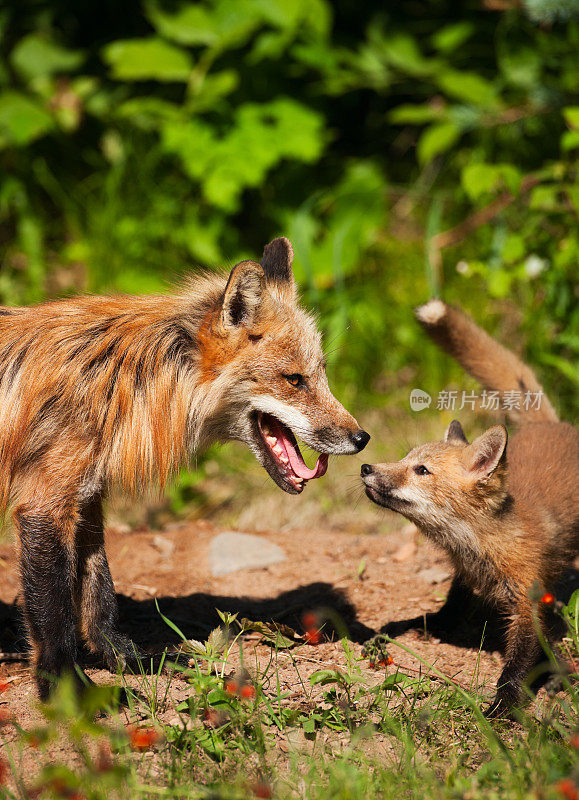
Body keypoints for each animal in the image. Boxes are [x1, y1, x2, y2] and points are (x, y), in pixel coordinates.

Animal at [1, 239, 372, 700]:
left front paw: (126, 659)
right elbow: (54, 613)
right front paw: (68, 690)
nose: (362, 439)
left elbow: (98, 595)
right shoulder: (45, 504)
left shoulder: (85, 497)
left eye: (321, 374)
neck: (121, 383)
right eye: (294, 380)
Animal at [362, 302, 579, 720]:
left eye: (421, 471)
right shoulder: (463, 574)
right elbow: (447, 609)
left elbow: (521, 659)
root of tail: (557, 425)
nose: (365, 468)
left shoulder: (528, 601)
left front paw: (504, 706)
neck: (480, 547)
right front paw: (422, 628)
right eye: (405, 459)